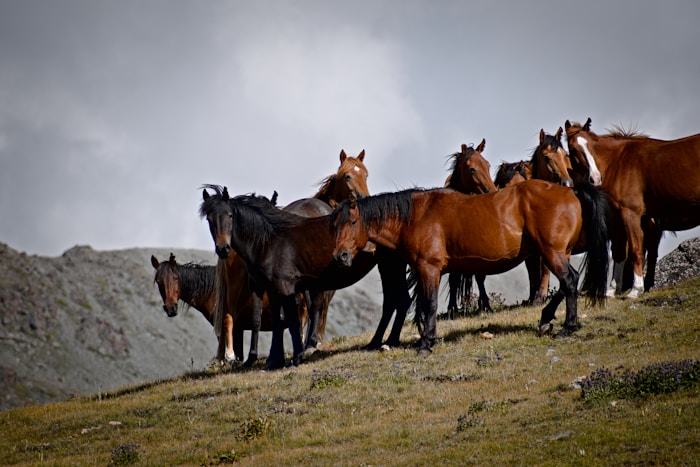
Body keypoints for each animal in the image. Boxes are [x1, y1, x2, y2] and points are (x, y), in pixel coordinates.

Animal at [151, 253, 308, 366]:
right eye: (158, 282)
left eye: (176, 278)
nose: (170, 308)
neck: (213, 290)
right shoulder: (238, 329)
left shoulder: (234, 327)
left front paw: (228, 359)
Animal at [330, 180, 610, 354]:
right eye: (334, 225)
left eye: (352, 222)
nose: (340, 256)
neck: (417, 216)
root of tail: (571, 191)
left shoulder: (429, 269)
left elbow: (430, 304)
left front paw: (426, 343)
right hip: (559, 253)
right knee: (568, 282)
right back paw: (546, 318)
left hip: (552, 253)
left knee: (569, 281)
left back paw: (568, 327)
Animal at [443, 140, 498, 316]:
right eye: (471, 168)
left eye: (487, 165)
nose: (493, 192)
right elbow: (454, 278)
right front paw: (452, 309)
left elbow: (480, 276)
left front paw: (485, 305)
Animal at [565, 118, 700, 298]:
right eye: (573, 149)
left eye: (592, 146)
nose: (595, 178)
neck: (618, 162)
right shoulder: (618, 218)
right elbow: (620, 253)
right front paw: (613, 289)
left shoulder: (631, 214)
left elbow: (636, 250)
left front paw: (636, 289)